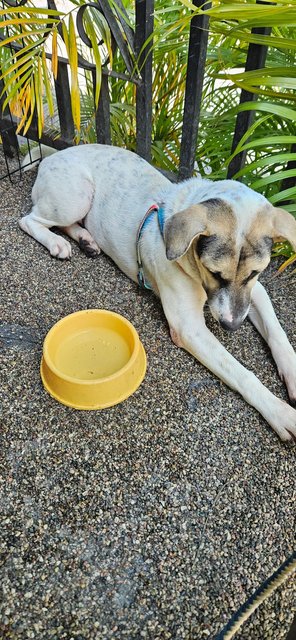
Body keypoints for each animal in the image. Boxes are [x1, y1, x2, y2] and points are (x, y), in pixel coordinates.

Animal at [19, 143, 296, 442]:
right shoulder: (189, 328)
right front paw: (279, 412)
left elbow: (277, 333)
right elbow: (242, 373)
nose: (231, 326)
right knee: (29, 220)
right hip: (76, 197)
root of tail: (56, 154)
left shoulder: (254, 293)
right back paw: (56, 242)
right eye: (215, 273)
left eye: (255, 272)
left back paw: (86, 240)